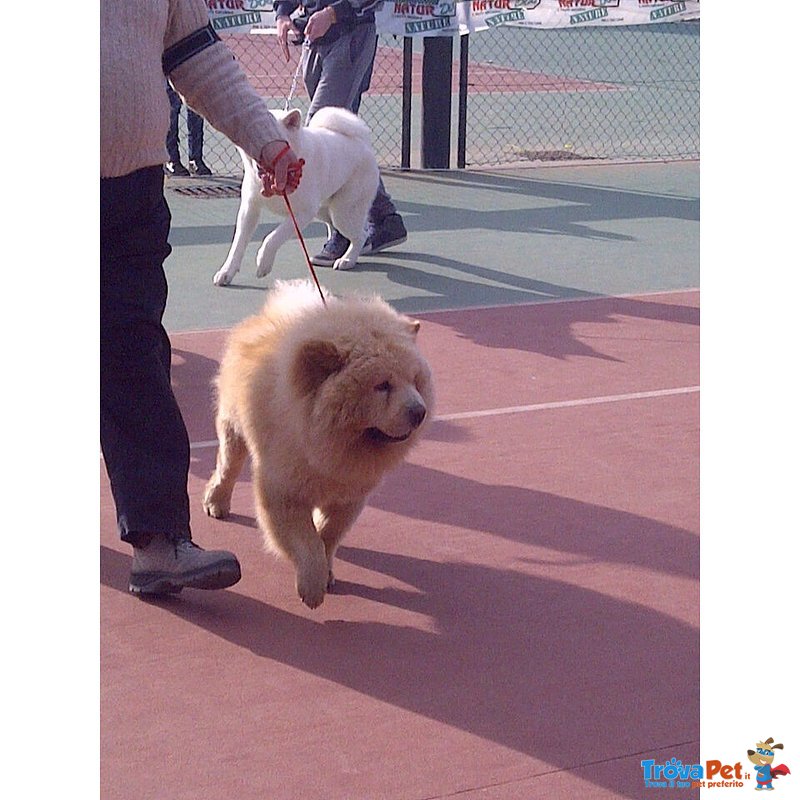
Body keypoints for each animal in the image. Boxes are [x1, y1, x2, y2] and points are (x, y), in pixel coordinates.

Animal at [203, 280, 434, 608]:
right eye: (382, 386)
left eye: (415, 381)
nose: (419, 411)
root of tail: (267, 316)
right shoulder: (283, 492)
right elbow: (306, 542)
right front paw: (312, 587)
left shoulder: (349, 497)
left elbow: (327, 534)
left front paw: (326, 572)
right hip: (233, 426)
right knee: (227, 467)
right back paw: (216, 503)